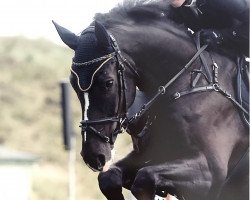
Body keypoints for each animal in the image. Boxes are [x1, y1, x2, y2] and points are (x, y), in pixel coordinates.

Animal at [52, 0, 248, 199]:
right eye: (73, 84)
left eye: (108, 83)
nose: (93, 157)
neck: (190, 80)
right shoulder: (149, 155)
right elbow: (109, 177)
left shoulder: (209, 170)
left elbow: (145, 179)